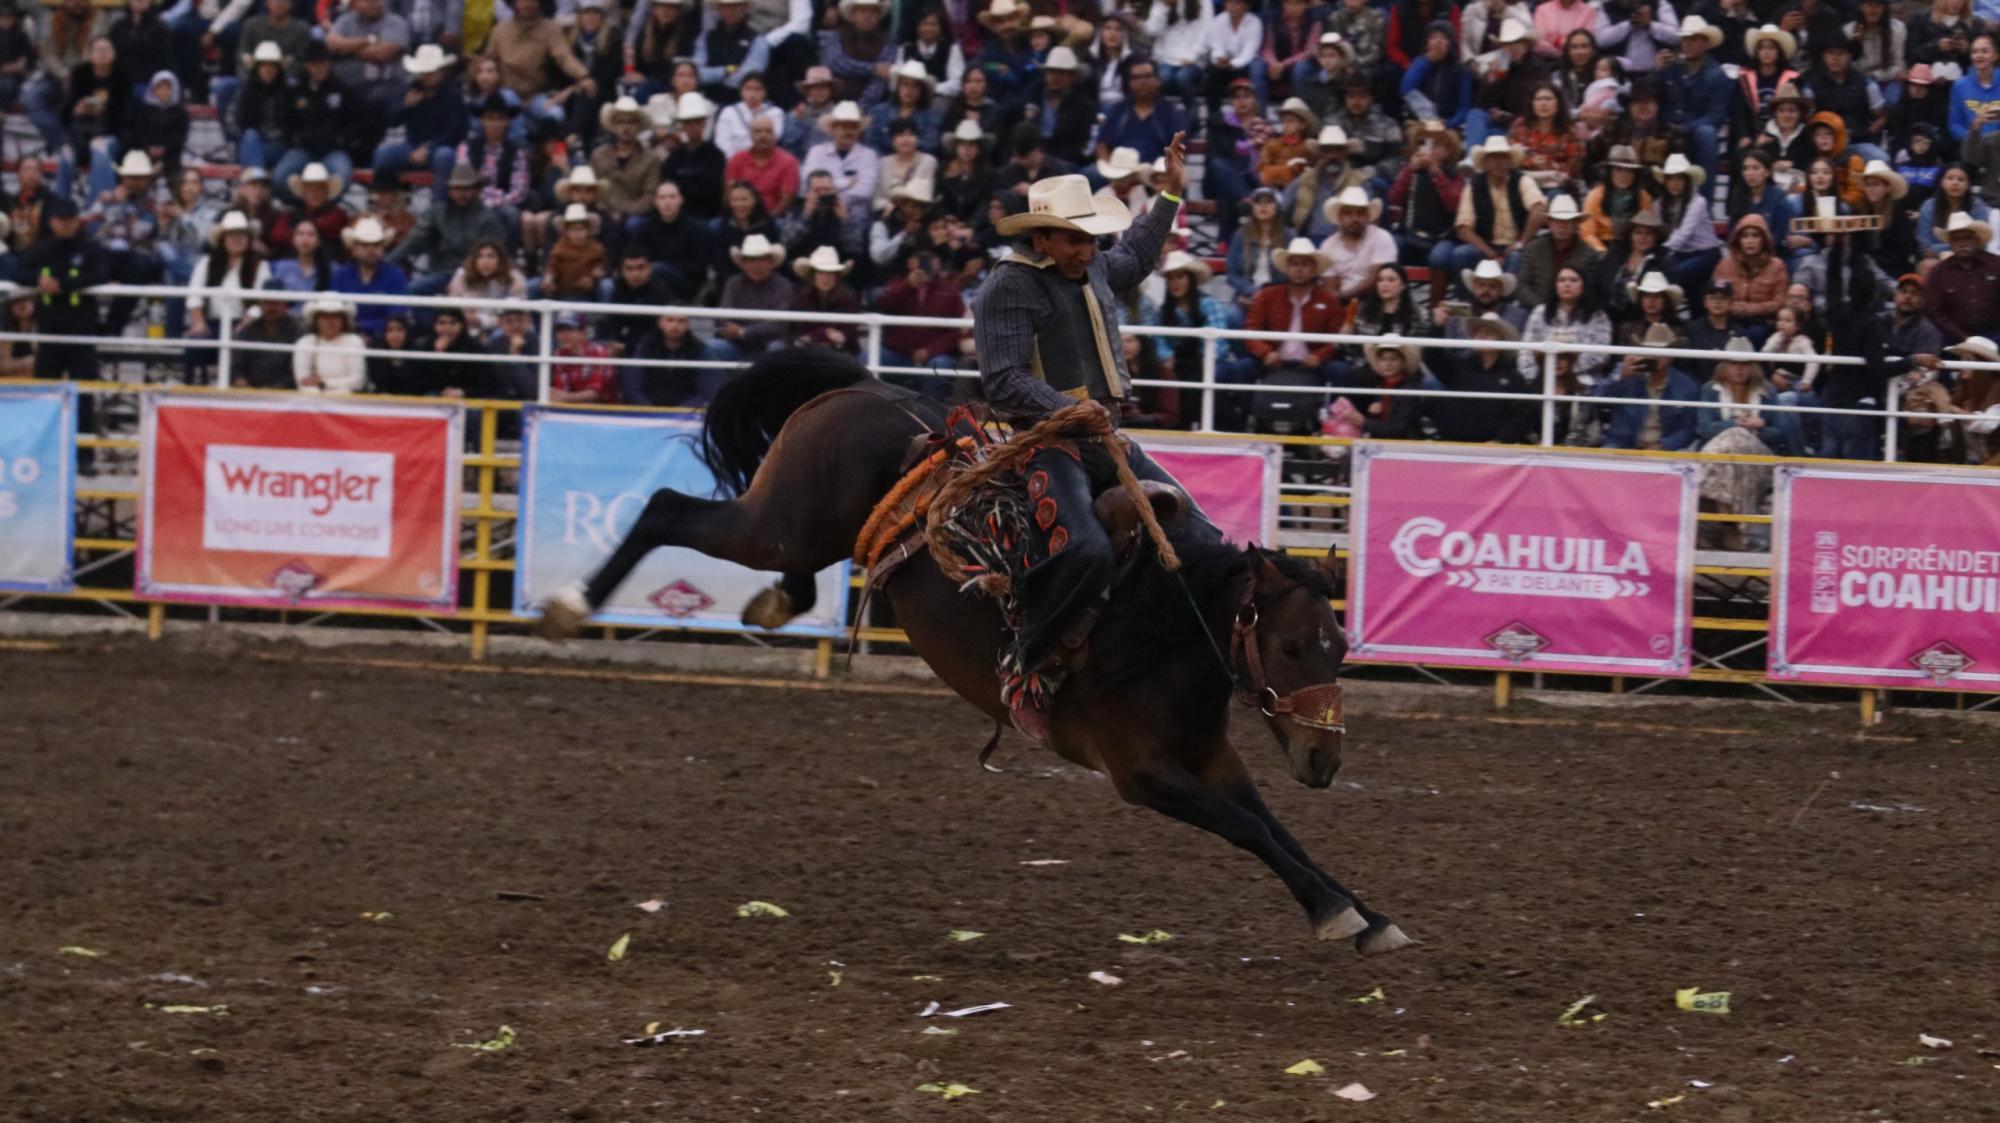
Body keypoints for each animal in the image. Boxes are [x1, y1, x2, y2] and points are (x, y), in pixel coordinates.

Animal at [532, 345, 1408, 947]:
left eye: (1339, 646)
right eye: (1291, 645)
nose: (1324, 759)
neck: (1159, 624)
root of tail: (862, 384)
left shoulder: (1213, 759)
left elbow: (1275, 827)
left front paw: (1368, 912)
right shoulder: (1144, 774)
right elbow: (1248, 828)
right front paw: (1338, 912)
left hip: (807, 528)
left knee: (787, 568)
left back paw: (771, 601)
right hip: (775, 519)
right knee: (666, 506)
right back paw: (571, 606)